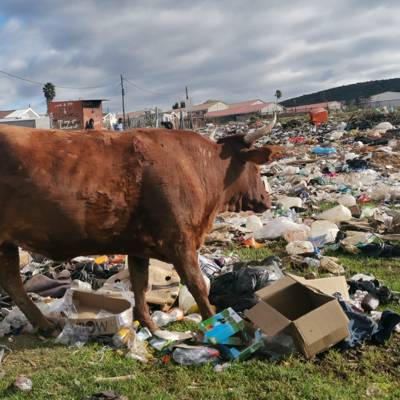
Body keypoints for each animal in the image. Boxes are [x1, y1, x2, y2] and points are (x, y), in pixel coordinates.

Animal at [0, 119, 280, 332]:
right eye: (256, 168)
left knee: (12, 282)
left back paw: (43, 324)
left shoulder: (138, 245)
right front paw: (212, 319)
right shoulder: (180, 241)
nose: (267, 198)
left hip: (6, 244)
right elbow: (197, 284)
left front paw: (148, 323)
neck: (197, 168)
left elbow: (140, 283)